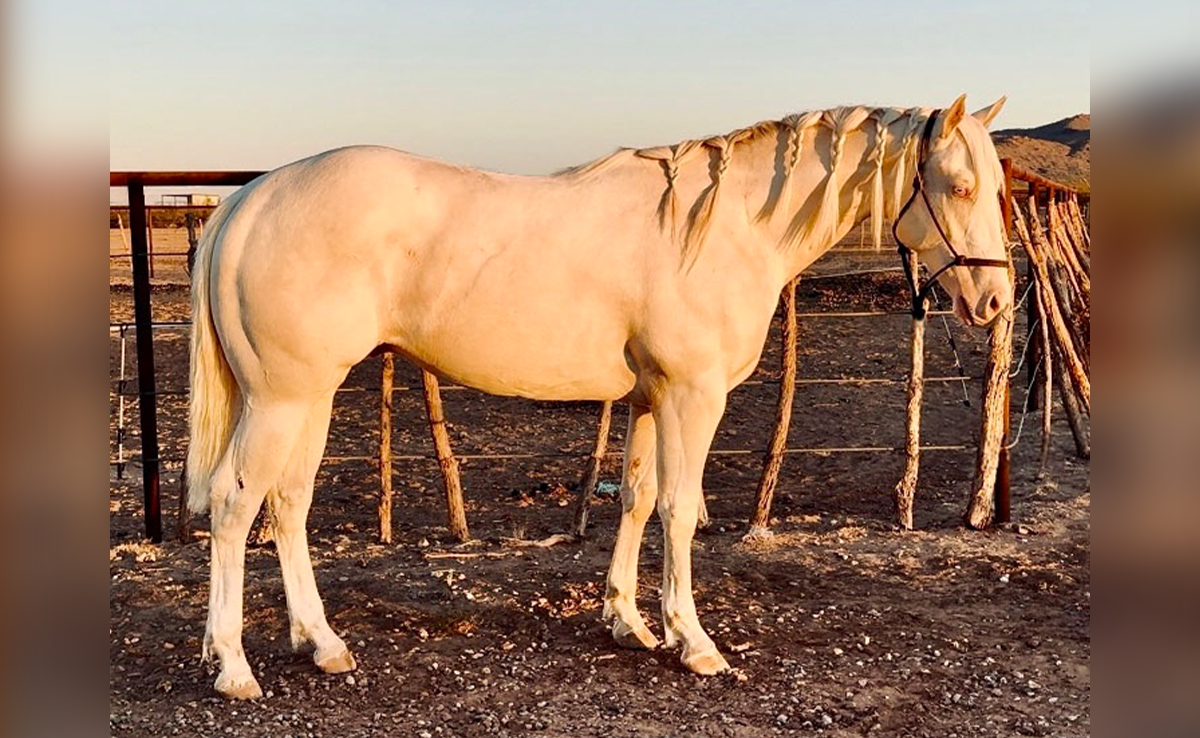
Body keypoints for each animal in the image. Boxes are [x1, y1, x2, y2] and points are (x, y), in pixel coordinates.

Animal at [186, 94, 1011, 698]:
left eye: (998, 189)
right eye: (959, 186)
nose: (996, 301)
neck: (725, 228)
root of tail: (250, 200)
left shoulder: (652, 399)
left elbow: (638, 501)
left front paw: (629, 626)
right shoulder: (693, 397)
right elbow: (679, 509)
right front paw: (694, 642)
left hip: (311, 398)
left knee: (288, 504)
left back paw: (321, 644)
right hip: (282, 399)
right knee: (234, 505)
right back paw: (233, 668)